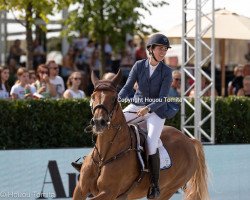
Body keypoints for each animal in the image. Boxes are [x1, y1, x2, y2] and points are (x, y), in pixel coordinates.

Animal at [73, 70, 210, 200]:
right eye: (92, 97)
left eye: (114, 98)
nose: (98, 122)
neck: (104, 156)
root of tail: (188, 140)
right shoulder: (80, 189)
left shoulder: (108, 193)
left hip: (168, 190)